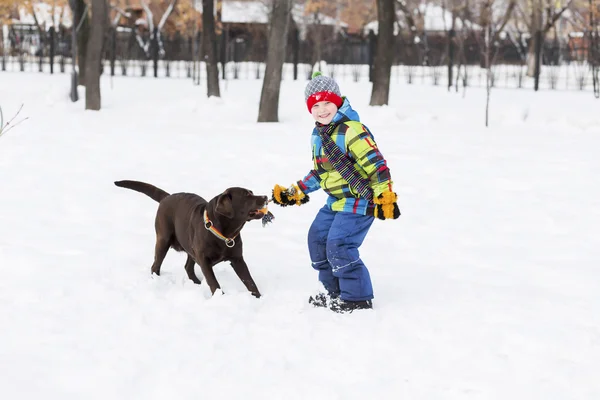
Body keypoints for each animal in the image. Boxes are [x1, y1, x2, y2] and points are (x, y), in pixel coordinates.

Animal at [114, 180, 268, 296]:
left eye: (252, 192)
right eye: (246, 195)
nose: (266, 197)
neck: (224, 233)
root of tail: (166, 197)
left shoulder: (237, 259)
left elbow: (250, 281)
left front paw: (258, 297)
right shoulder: (204, 260)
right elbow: (214, 283)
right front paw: (222, 297)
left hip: (189, 246)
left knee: (188, 267)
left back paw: (196, 282)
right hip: (163, 240)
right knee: (156, 265)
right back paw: (155, 280)